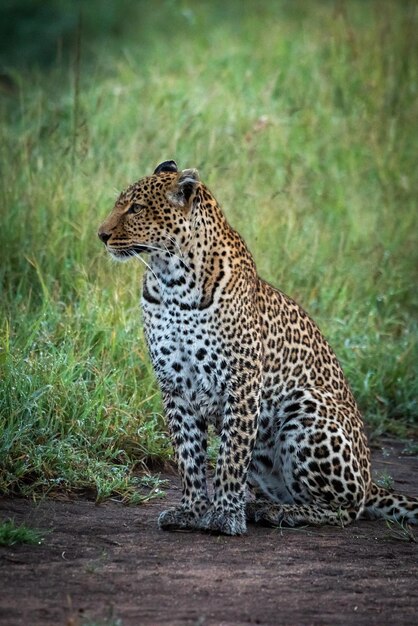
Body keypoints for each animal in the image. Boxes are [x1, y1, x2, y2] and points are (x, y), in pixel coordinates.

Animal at [99, 158, 418, 532]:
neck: (170, 280)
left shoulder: (241, 381)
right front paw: (191, 511)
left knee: (347, 508)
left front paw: (224, 515)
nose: (101, 235)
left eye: (135, 208)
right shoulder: (174, 384)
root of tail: (370, 481)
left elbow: (230, 457)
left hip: (308, 405)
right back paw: (261, 506)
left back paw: (281, 513)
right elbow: (188, 456)